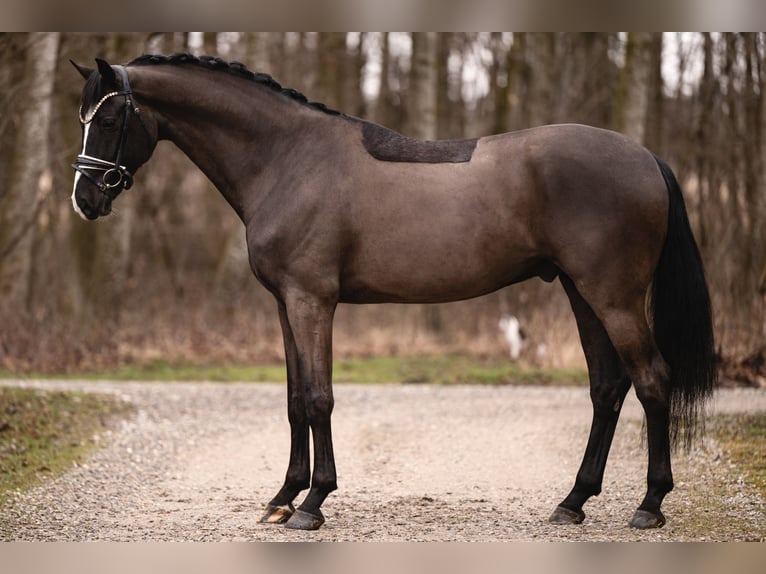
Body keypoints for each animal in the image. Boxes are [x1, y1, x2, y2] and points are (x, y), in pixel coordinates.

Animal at [70, 53, 716, 531]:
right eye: (84, 118)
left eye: (109, 120)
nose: (85, 199)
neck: (287, 159)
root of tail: (646, 157)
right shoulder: (284, 304)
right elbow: (293, 399)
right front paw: (282, 497)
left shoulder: (312, 301)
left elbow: (318, 398)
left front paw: (312, 504)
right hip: (583, 295)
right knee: (608, 387)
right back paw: (573, 502)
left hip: (614, 296)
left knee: (652, 380)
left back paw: (649, 506)